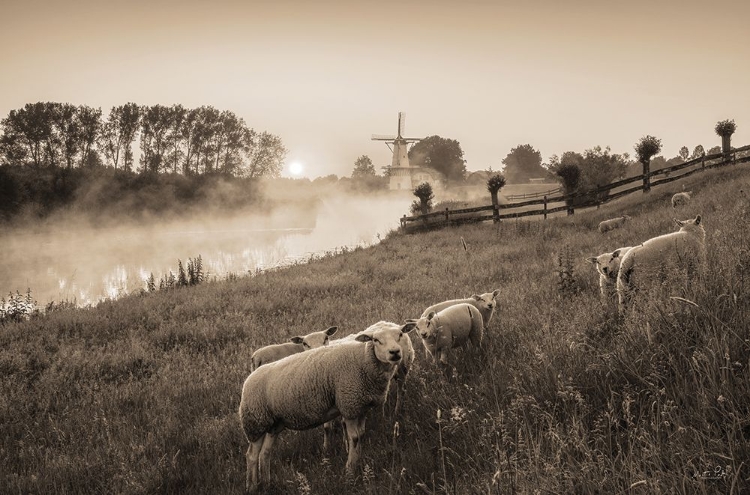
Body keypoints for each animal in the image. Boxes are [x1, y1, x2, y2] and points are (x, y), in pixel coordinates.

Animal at [239, 322, 418, 492]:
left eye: (400, 334)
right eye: (375, 340)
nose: (395, 352)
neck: (364, 360)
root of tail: (249, 377)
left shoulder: (360, 406)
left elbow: (361, 435)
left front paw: (358, 463)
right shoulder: (349, 404)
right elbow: (354, 438)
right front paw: (350, 472)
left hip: (274, 424)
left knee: (265, 453)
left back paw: (267, 483)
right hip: (255, 421)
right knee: (252, 455)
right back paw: (252, 486)